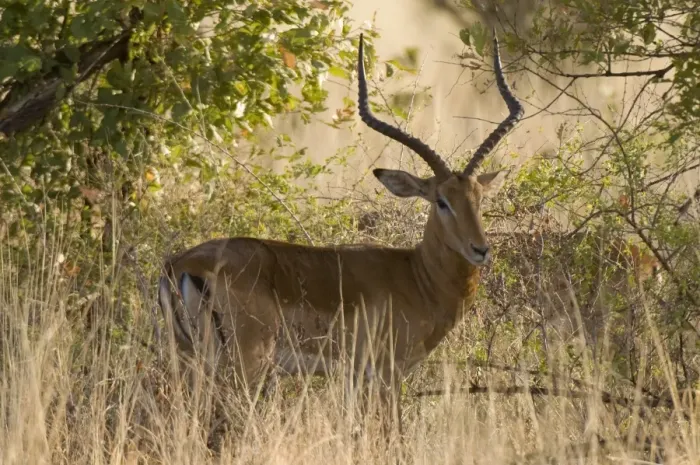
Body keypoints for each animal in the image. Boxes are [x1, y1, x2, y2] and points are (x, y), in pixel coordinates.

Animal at [158, 32, 524, 434]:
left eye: (479, 197)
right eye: (441, 200)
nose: (480, 250)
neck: (417, 278)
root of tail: (181, 265)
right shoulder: (385, 374)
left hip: (187, 358)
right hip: (243, 364)